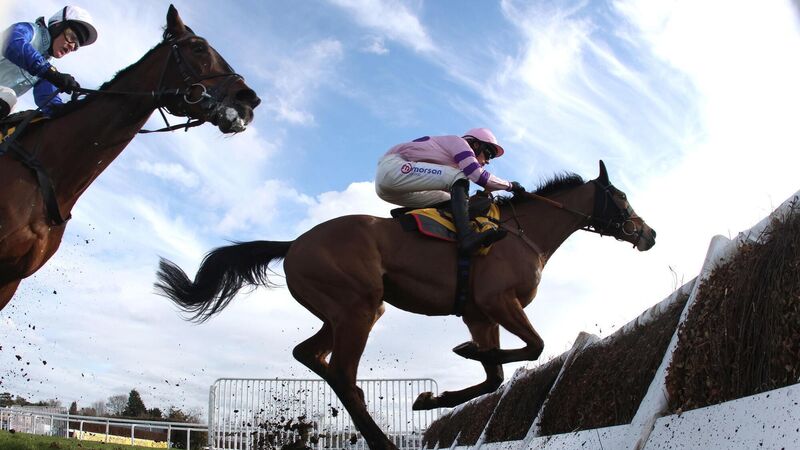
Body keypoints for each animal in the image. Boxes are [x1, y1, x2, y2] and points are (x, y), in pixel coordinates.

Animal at [155, 160, 656, 450]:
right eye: (621, 197)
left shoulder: (478, 312)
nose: (648, 233)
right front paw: (465, 354)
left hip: (351, 309)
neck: (521, 232)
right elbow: (532, 347)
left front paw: (433, 396)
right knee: (341, 372)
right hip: (357, 308)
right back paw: (382, 442)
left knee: (312, 356)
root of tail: (294, 243)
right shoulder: (498, 301)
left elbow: (495, 377)